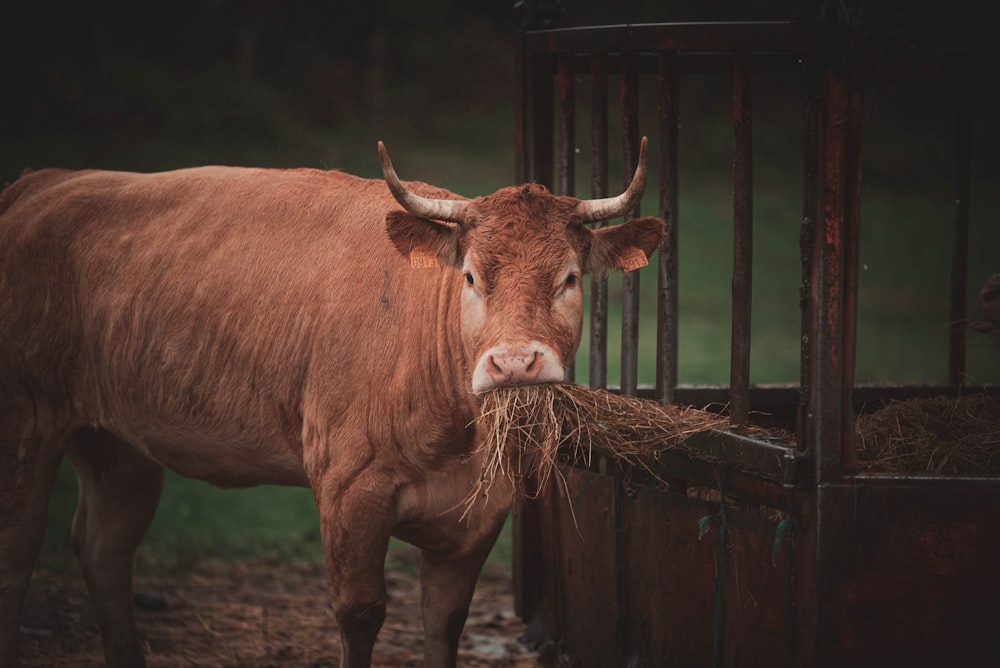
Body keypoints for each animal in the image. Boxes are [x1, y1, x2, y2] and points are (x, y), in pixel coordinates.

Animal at [3, 138, 668, 664]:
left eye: (569, 278)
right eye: (472, 277)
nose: (514, 363)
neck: (458, 437)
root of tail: (43, 182)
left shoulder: (480, 512)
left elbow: (443, 623)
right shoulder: (350, 485)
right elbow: (361, 615)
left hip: (118, 443)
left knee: (105, 548)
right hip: (25, 419)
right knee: (18, 552)